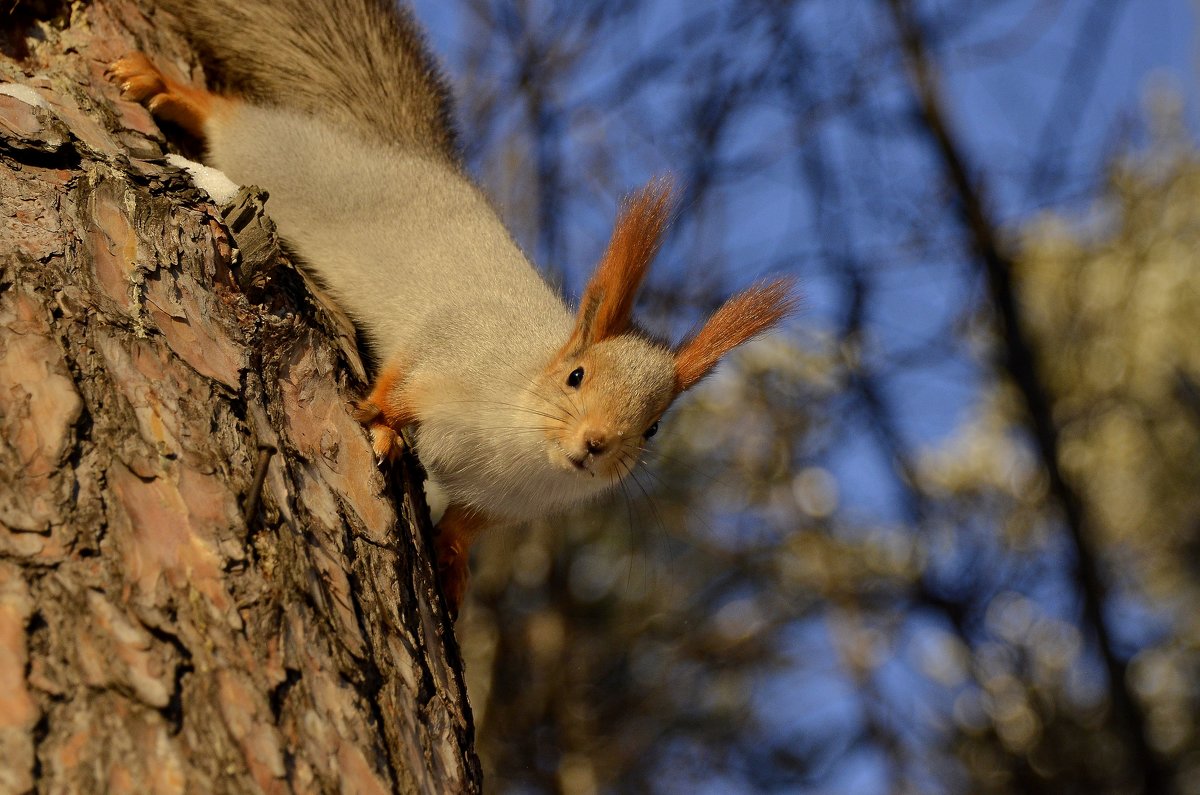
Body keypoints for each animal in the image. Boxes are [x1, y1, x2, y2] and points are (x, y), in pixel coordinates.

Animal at [103, 0, 796, 614]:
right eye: (576, 376)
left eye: (653, 427)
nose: (597, 445)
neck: (520, 441)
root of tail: (410, 157)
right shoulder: (452, 346)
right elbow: (400, 378)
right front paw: (382, 422)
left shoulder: (508, 503)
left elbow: (468, 523)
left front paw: (454, 561)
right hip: (296, 165)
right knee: (237, 122)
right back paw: (163, 85)